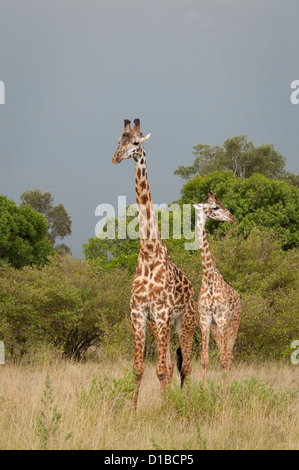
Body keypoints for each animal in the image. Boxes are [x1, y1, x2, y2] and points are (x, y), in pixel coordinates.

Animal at [112, 119, 197, 410]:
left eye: (136, 143)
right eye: (119, 140)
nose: (116, 157)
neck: (149, 253)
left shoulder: (161, 314)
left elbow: (159, 369)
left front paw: (166, 410)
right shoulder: (139, 315)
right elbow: (139, 369)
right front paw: (132, 411)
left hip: (185, 322)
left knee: (186, 366)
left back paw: (186, 402)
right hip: (163, 326)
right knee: (172, 364)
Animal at [193, 189, 243, 388]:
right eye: (215, 207)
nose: (232, 218)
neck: (209, 278)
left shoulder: (221, 318)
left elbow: (222, 359)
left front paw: (223, 393)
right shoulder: (205, 319)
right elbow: (204, 359)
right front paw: (201, 389)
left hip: (233, 323)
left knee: (228, 356)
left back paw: (226, 387)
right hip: (217, 328)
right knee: (226, 354)